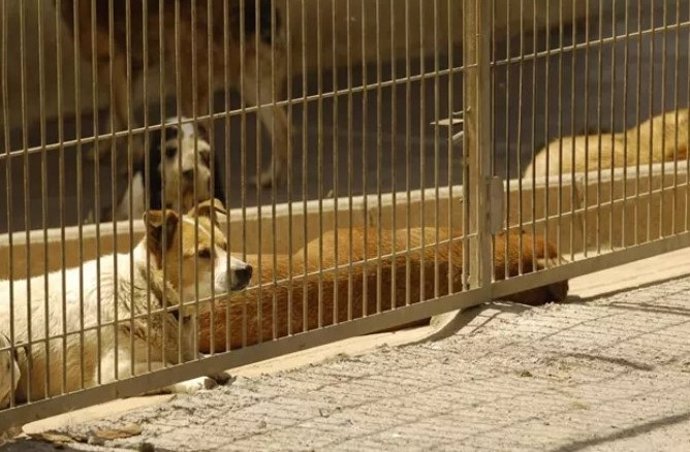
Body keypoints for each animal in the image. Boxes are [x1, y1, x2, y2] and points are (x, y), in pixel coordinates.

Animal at [59, 0, 292, 187]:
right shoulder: (130, 68)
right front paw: (104, 150)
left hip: (188, 81)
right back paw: (271, 179)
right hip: (250, 83)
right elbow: (117, 116)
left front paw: (132, 160)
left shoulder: (110, 61)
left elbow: (124, 119)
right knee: (282, 128)